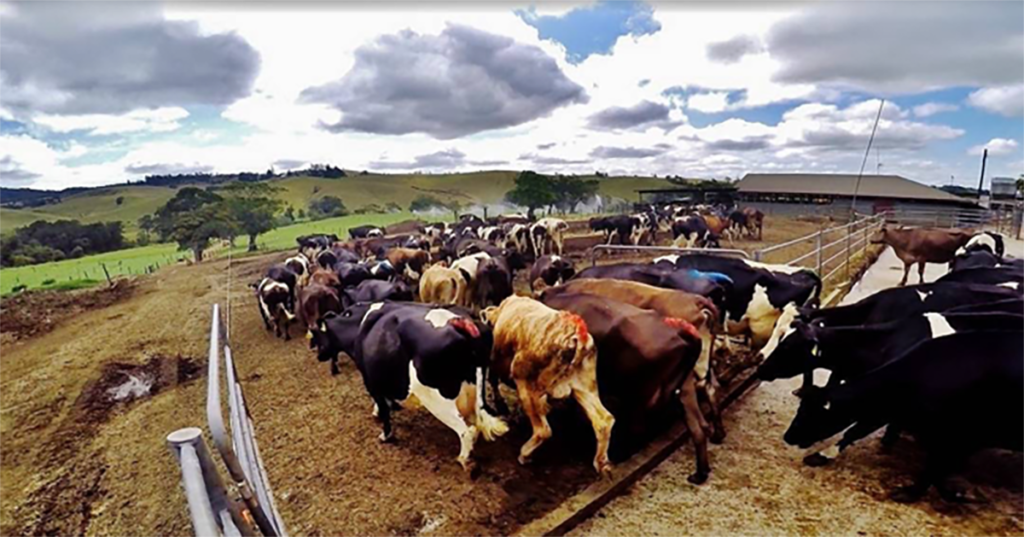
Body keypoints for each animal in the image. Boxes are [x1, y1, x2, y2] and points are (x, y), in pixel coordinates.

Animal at [307, 301, 507, 473]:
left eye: (317, 336)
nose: (319, 356)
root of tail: (461, 322)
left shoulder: (371, 380)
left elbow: (383, 407)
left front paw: (385, 433)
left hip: (437, 399)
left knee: (467, 431)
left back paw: (464, 460)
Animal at [481, 293, 614, 473]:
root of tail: (576, 335)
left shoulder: (495, 361)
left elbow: (493, 381)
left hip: (527, 384)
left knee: (543, 430)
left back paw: (524, 454)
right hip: (585, 388)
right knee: (604, 420)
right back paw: (601, 462)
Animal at [786, 332, 1024, 504]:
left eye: (811, 414)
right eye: (800, 409)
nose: (787, 437)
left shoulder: (964, 439)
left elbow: (935, 469)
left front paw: (916, 493)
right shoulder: (886, 411)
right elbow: (854, 431)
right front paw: (822, 455)